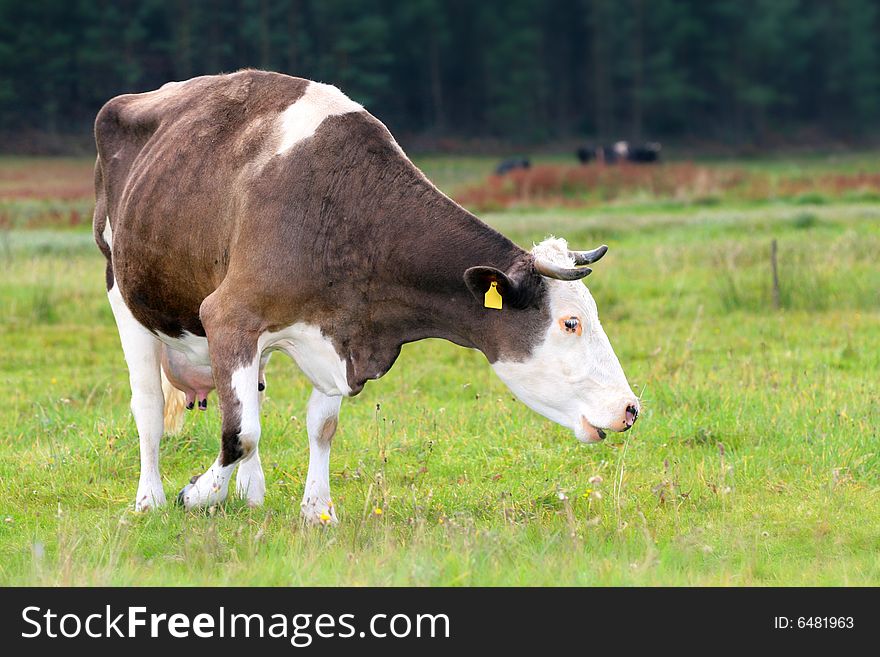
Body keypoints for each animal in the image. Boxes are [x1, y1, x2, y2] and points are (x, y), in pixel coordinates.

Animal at [96, 70, 640, 524]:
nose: (631, 408)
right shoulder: (229, 315)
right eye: (570, 322)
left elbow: (319, 426)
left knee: (249, 398)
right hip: (124, 294)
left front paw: (317, 512)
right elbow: (240, 433)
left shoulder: (338, 332)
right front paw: (198, 494)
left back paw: (252, 492)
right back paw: (150, 500)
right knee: (150, 408)